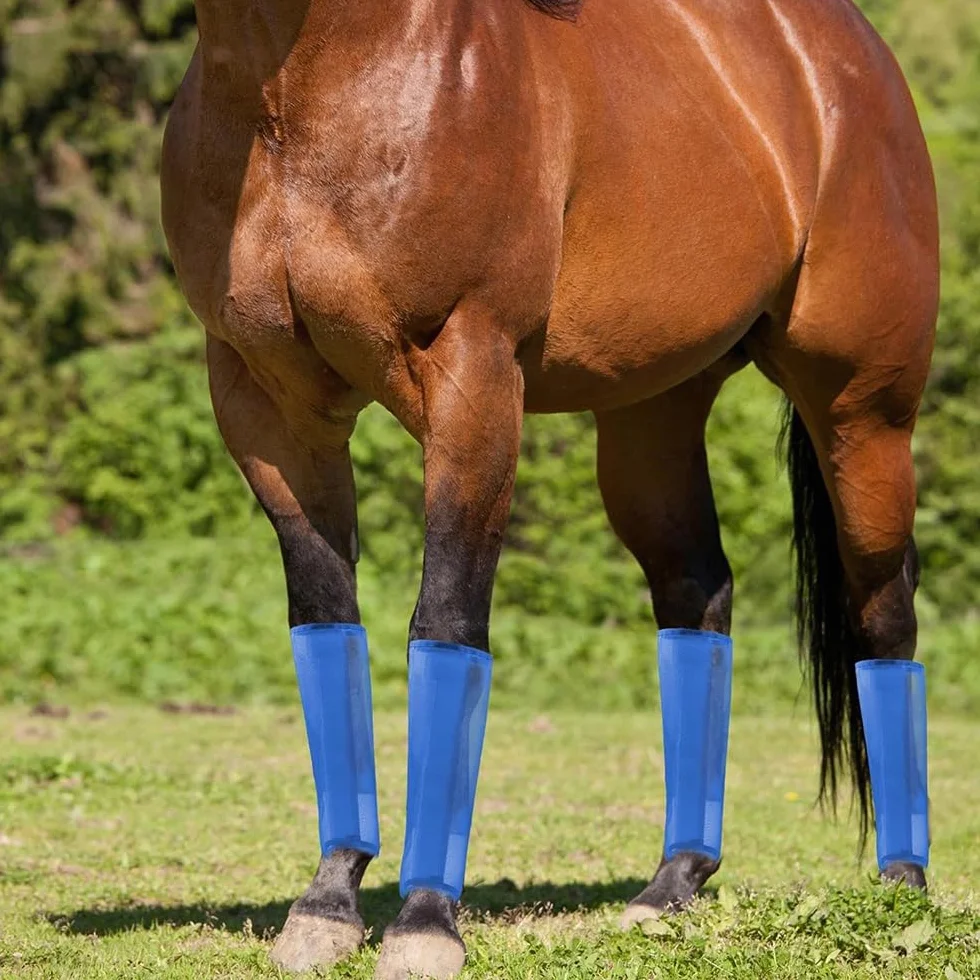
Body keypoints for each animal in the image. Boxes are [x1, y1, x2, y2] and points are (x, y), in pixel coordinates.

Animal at [161, 0, 938, 976]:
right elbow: (326, 621)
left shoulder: (473, 379)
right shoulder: (266, 405)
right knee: (698, 594)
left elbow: (447, 624)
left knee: (885, 614)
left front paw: (424, 922)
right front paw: (328, 905)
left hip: (863, 413)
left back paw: (901, 891)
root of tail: (853, 57)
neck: (300, 94)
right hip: (652, 418)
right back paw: (672, 886)